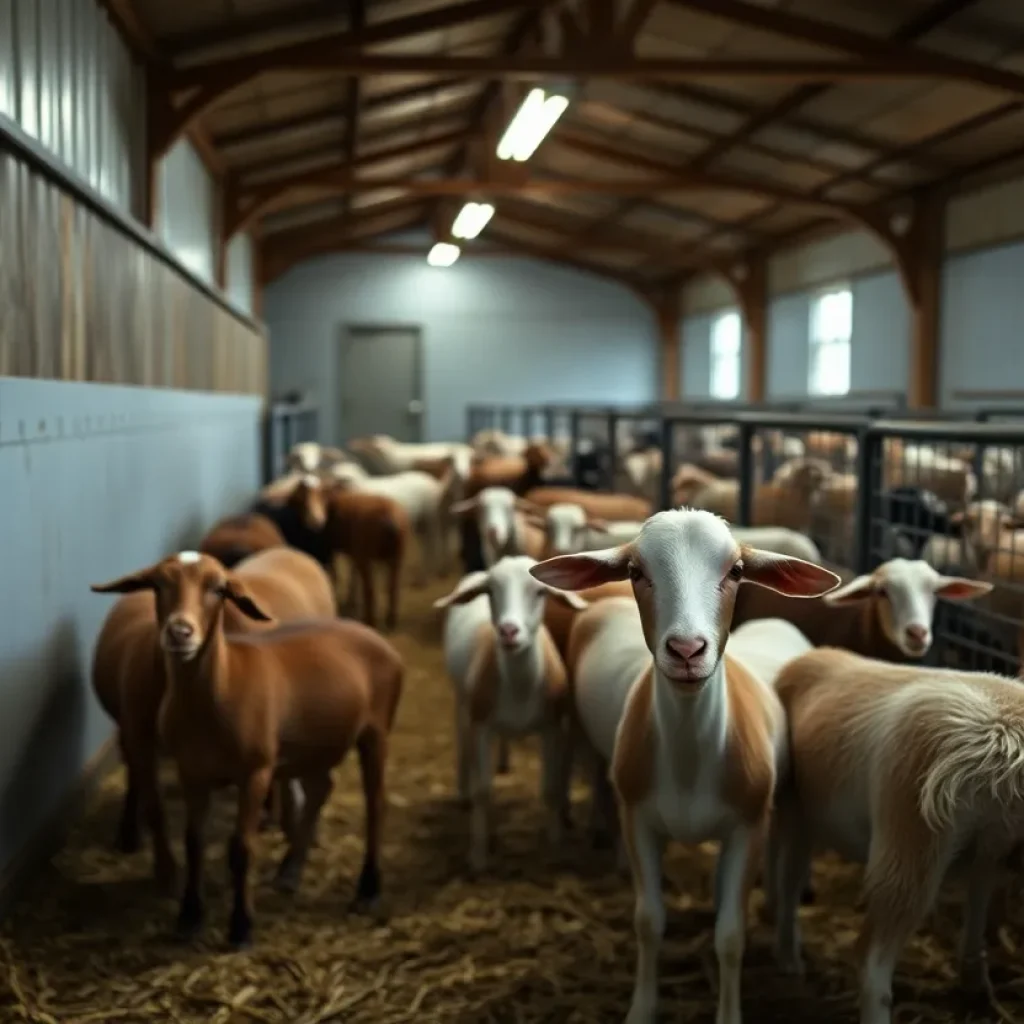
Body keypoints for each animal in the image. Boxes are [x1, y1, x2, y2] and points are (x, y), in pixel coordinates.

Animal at [89, 548, 333, 892]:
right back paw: (129, 834)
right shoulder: (141, 737)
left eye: (218, 589)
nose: (180, 632)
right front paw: (166, 872)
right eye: (158, 584)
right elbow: (154, 807)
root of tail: (287, 551)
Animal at [434, 561, 593, 872]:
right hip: (462, 699)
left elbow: (551, 789)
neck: (519, 687)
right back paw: (463, 793)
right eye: (489, 591)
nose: (508, 631)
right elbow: (483, 791)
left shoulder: (551, 727)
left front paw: (554, 847)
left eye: (540, 591)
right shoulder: (481, 725)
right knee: (462, 740)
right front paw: (478, 857)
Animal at [532, 512, 843, 1024]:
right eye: (635, 571)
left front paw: (729, 1012)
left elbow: (731, 936)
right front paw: (641, 1009)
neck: (688, 758)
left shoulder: (747, 826)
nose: (686, 649)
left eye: (736, 571)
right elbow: (648, 921)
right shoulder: (638, 819)